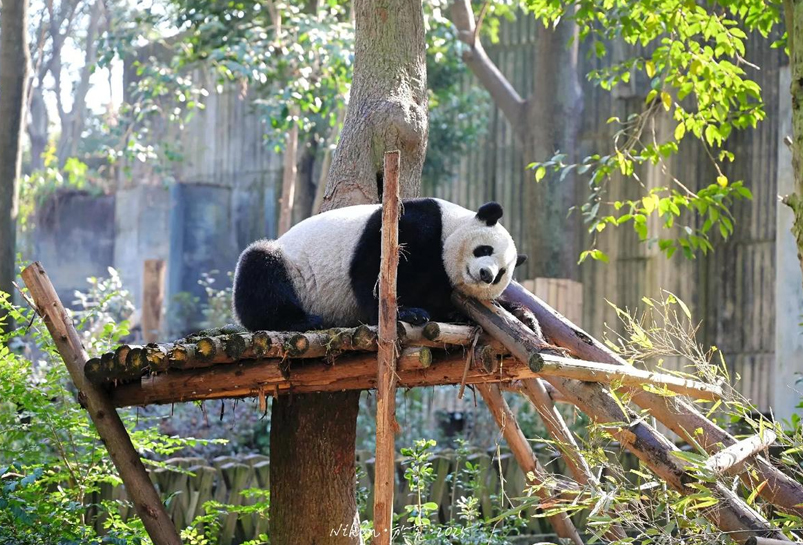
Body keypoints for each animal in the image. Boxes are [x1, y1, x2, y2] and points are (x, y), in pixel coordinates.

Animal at [232, 198, 528, 332]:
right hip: (289, 266)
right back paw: (300, 320)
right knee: (260, 270)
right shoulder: (414, 223)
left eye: (501, 274)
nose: (486, 274)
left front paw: (522, 316)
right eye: (485, 249)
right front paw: (407, 312)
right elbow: (371, 270)